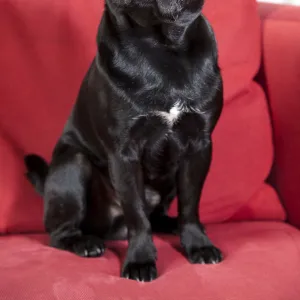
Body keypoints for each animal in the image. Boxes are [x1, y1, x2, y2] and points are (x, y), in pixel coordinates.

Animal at [25, 0, 223, 282]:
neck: (158, 43)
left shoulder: (198, 148)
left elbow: (190, 204)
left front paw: (198, 244)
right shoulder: (124, 154)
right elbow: (137, 215)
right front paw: (140, 260)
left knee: (158, 215)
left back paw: (170, 225)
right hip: (73, 165)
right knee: (60, 232)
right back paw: (84, 243)